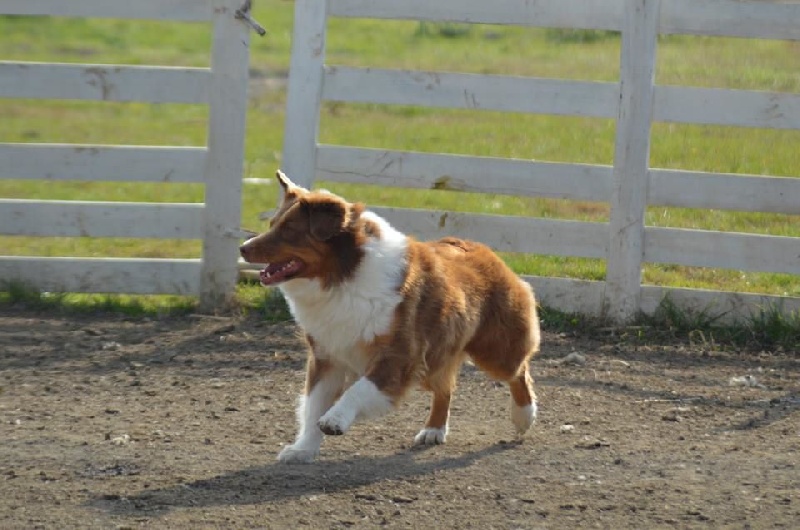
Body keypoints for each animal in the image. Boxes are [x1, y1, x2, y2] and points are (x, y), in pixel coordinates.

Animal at [236, 170, 536, 462]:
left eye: (289, 230)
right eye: (272, 223)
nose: (243, 247)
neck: (344, 275)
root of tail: (485, 250)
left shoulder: (399, 356)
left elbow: (356, 390)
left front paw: (335, 420)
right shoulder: (326, 355)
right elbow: (313, 406)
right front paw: (303, 449)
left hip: (495, 350)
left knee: (519, 372)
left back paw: (523, 416)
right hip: (436, 357)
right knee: (445, 387)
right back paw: (434, 429)